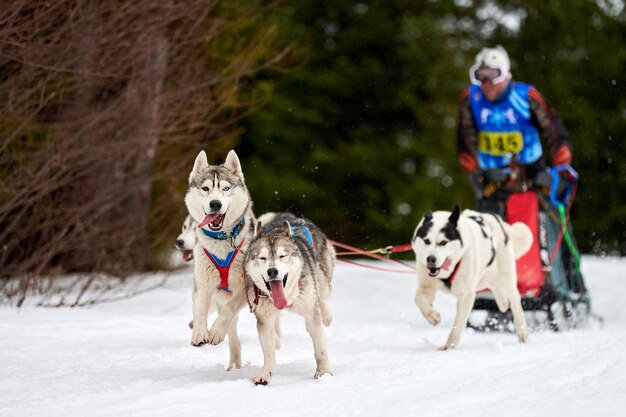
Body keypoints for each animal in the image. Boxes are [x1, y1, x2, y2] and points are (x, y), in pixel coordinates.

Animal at [184, 149, 255, 368]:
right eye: (205, 188)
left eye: (225, 188)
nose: (215, 204)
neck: (221, 241)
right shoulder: (202, 286)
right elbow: (199, 310)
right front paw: (200, 334)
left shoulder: (244, 288)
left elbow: (228, 310)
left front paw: (215, 332)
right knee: (233, 336)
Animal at [244, 216, 334, 386]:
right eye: (262, 258)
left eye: (282, 256)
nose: (272, 271)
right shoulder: (264, 318)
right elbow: (269, 353)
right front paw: (265, 375)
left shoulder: (311, 310)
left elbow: (320, 349)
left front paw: (324, 372)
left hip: (322, 280)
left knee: (323, 296)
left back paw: (326, 315)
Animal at [412, 206, 528, 350]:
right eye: (427, 241)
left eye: (443, 242)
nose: (431, 259)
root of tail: (497, 219)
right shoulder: (427, 286)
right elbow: (418, 299)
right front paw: (432, 315)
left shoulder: (466, 295)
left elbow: (458, 324)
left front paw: (449, 345)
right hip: (485, 276)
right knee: (495, 286)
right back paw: (503, 302)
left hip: (506, 276)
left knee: (515, 301)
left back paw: (522, 331)